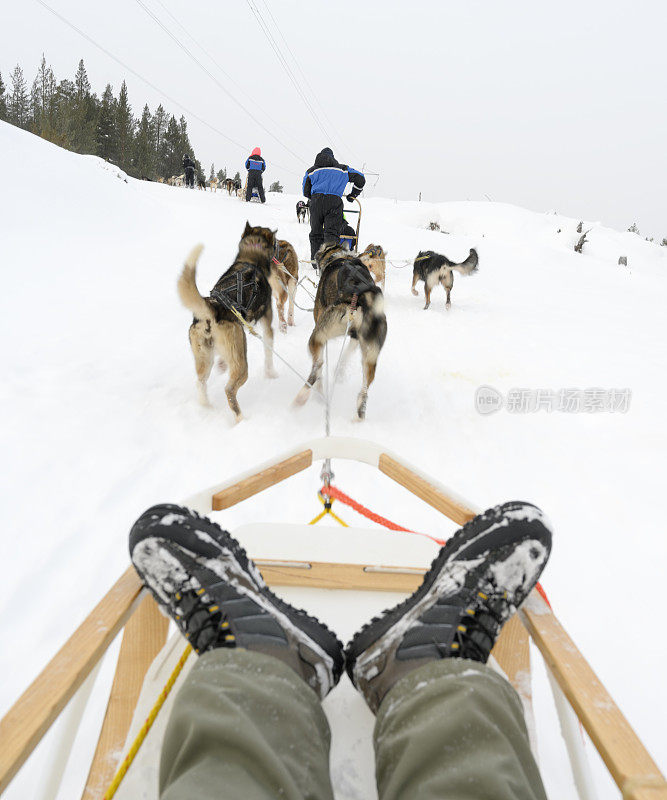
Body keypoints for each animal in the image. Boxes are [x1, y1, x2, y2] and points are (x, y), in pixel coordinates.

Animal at [176, 222, 278, 422]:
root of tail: (213, 307)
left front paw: (222, 365)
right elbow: (269, 350)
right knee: (229, 390)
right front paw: (271, 373)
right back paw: (240, 419)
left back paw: (206, 405)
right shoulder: (267, 321)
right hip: (241, 362)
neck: (251, 257)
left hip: (204, 358)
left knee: (200, 382)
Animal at [294, 242, 388, 418]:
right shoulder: (355, 337)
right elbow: (346, 355)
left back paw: (307, 395)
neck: (339, 255)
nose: (315, 255)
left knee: (318, 366)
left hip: (318, 335)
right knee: (366, 381)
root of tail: (361, 296)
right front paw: (340, 370)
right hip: (371, 353)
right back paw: (360, 408)